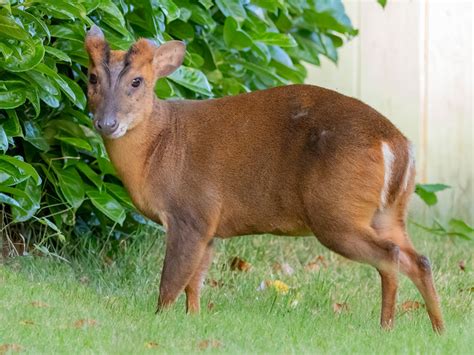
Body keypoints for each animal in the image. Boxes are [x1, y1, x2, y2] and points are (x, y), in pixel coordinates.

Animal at [85, 25, 444, 334]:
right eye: (92, 77)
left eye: (137, 81)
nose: (107, 123)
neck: (157, 148)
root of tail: (398, 145)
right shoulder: (210, 227)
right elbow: (194, 285)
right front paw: (194, 319)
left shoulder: (191, 213)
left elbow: (171, 283)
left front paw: (159, 321)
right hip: (388, 212)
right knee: (419, 259)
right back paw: (433, 329)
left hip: (336, 211)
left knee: (391, 256)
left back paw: (394, 327)